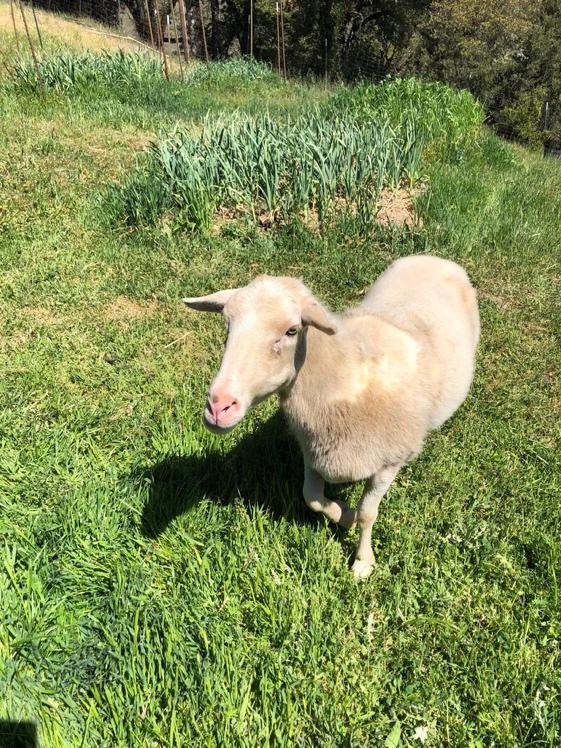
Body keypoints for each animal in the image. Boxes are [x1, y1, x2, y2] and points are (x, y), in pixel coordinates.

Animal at [183, 255, 480, 578]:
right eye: (227, 326)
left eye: (292, 330)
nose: (218, 406)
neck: (347, 378)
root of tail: (437, 259)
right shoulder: (314, 450)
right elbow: (311, 497)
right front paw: (344, 515)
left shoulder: (388, 462)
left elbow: (367, 513)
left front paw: (363, 560)